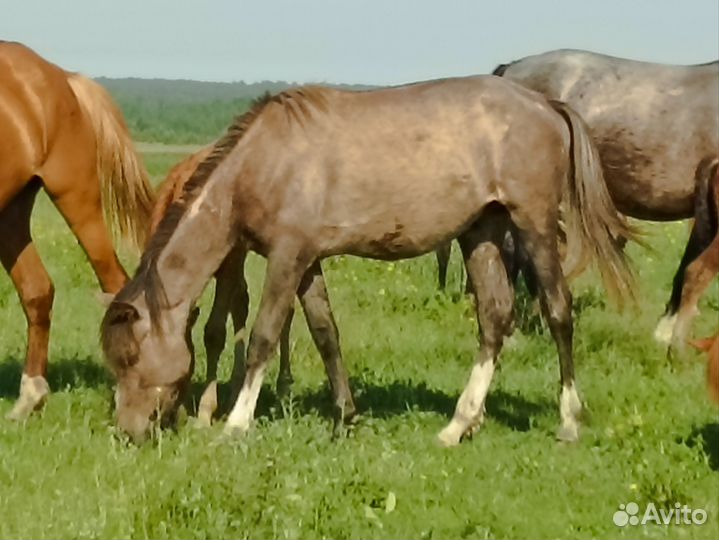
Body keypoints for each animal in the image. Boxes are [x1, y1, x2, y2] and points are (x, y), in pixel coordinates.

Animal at [0, 41, 155, 420]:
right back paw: (29, 399)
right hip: (11, 213)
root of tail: (64, 78)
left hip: (77, 199)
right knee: (37, 291)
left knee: (115, 284)